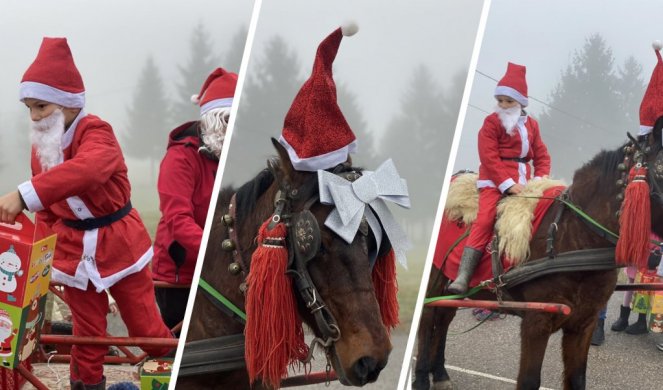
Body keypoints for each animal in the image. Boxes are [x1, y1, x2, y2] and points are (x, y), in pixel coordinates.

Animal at [412, 122, 663, 390]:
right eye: (661, 170)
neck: (575, 238)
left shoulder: (584, 323)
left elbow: (577, 379)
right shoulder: (536, 322)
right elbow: (530, 380)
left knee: (444, 318)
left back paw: (440, 373)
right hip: (435, 281)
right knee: (427, 320)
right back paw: (421, 378)